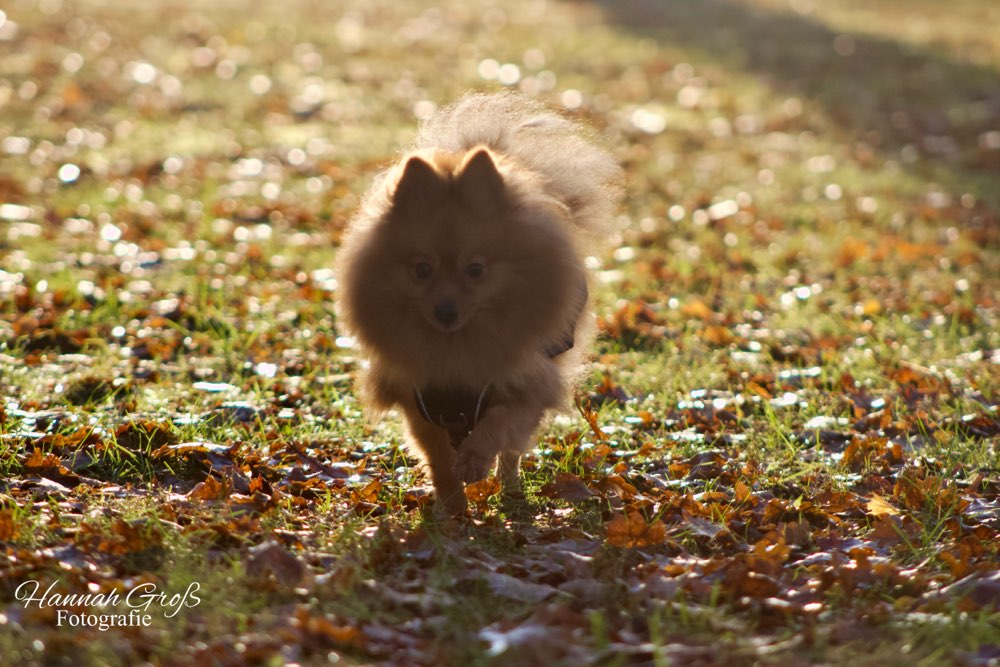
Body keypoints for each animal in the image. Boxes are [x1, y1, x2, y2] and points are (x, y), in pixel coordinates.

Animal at [338, 91, 616, 516]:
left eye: (476, 270)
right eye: (422, 269)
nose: (446, 310)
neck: (457, 352)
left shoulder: (525, 390)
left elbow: (497, 427)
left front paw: (474, 461)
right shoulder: (419, 406)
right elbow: (439, 461)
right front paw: (453, 510)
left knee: (512, 454)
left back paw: (511, 491)